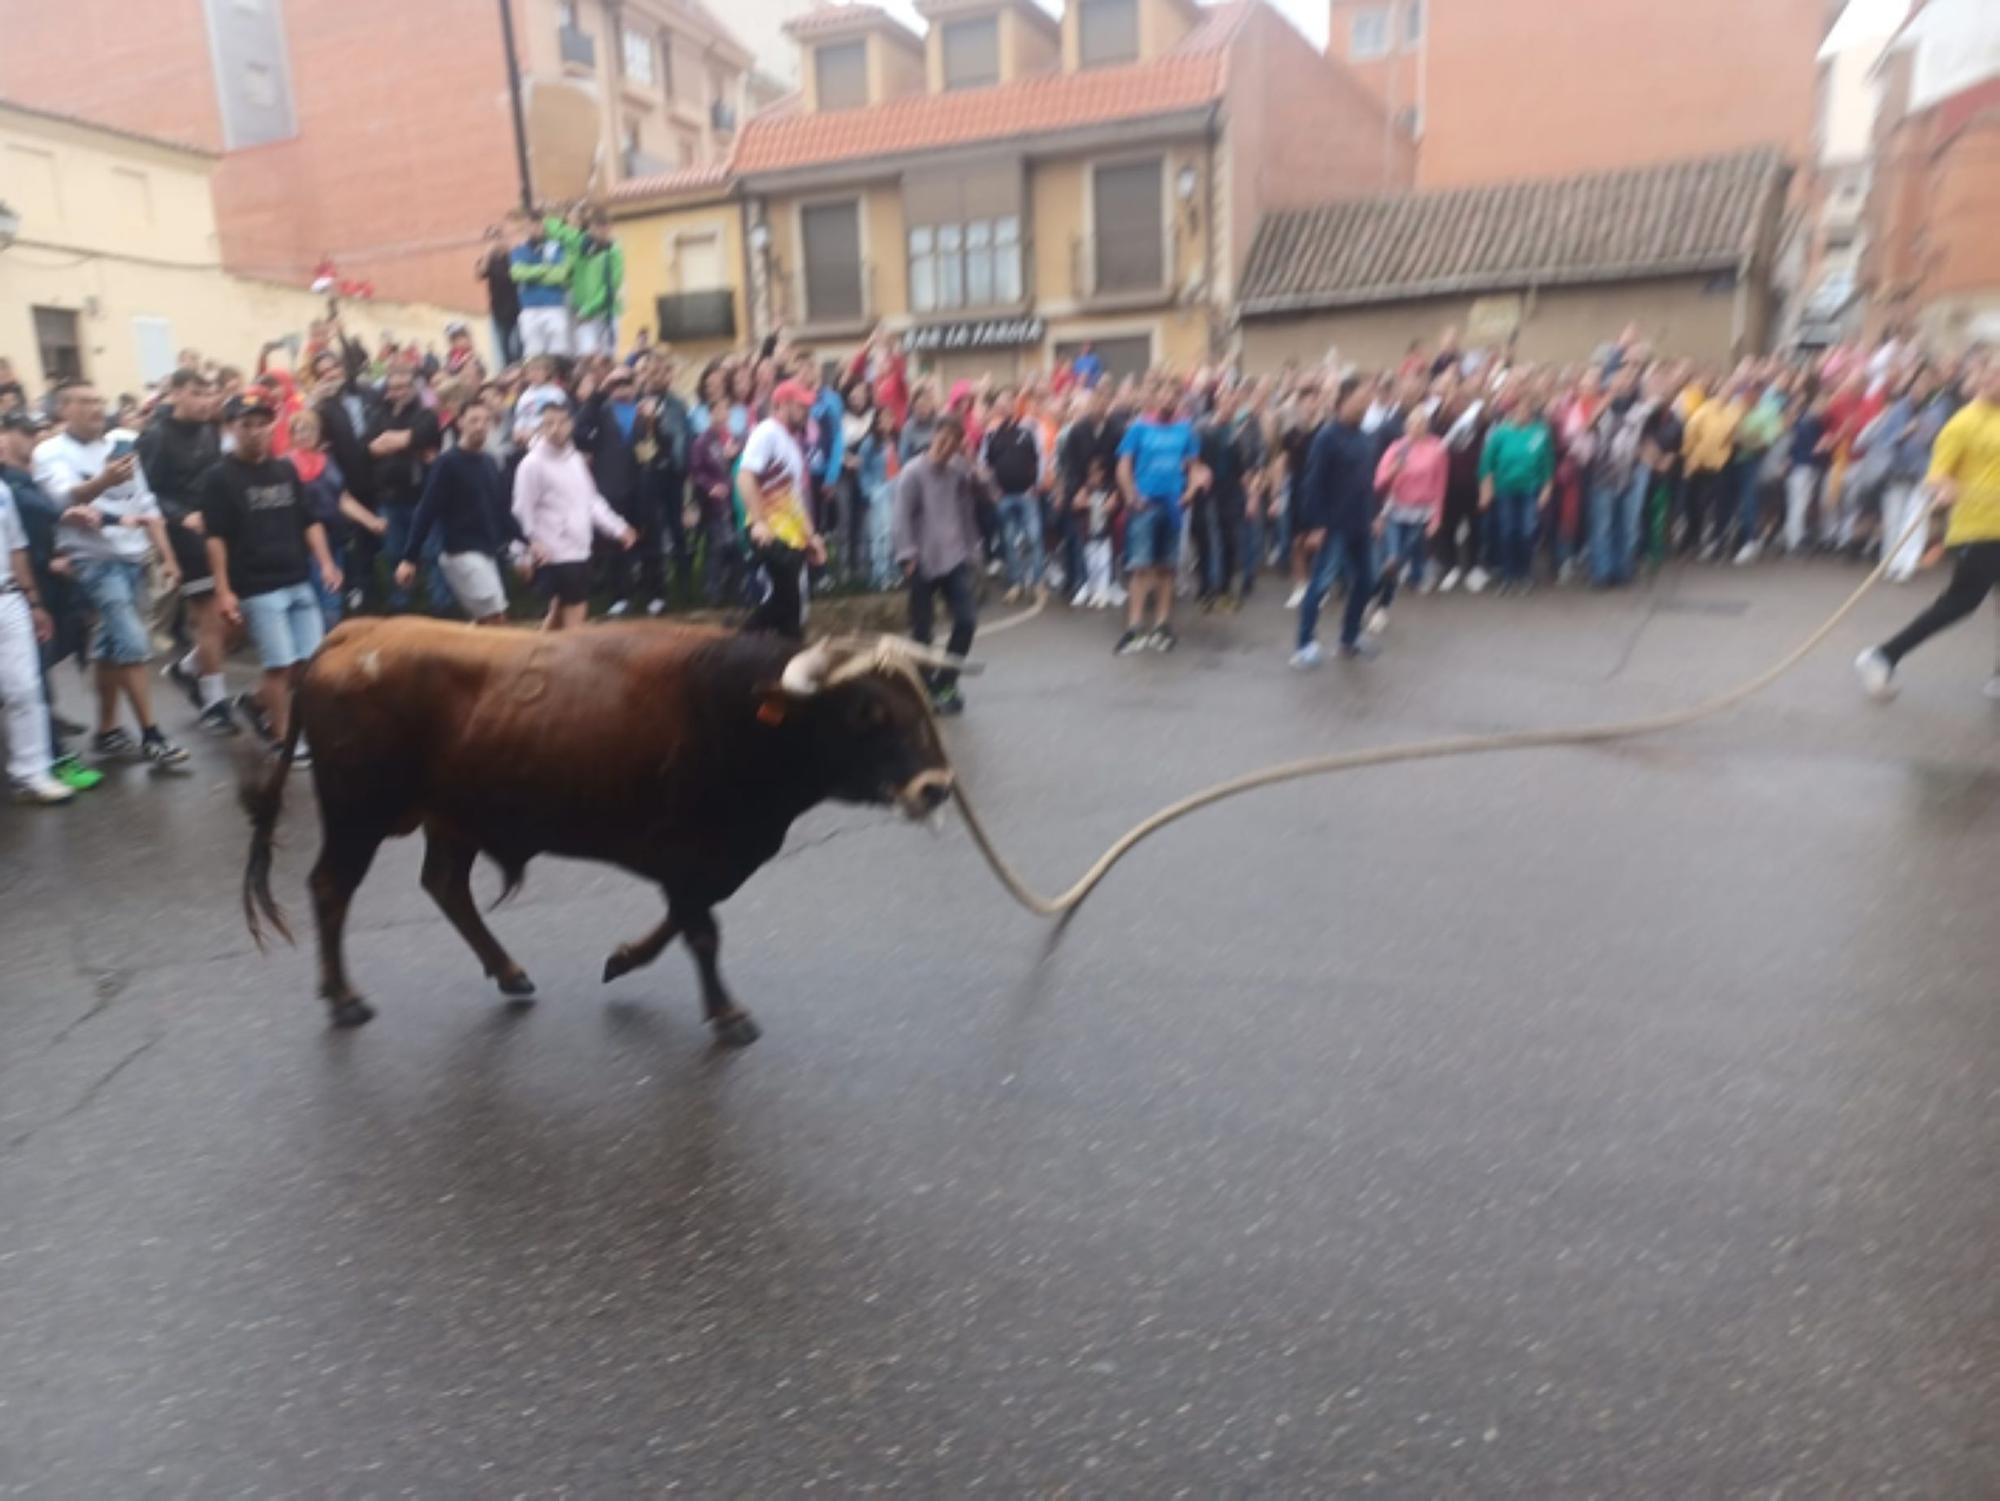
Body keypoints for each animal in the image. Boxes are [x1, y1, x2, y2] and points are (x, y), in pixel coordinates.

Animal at [242, 616, 960, 1048]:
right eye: (867, 712)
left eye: (921, 701)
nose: (936, 786)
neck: (734, 709)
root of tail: (355, 632)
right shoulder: (689, 851)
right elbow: (702, 930)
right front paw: (727, 1013)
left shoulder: (708, 860)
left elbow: (684, 922)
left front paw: (623, 958)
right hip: (358, 815)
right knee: (331, 888)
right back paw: (343, 997)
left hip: (454, 817)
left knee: (445, 885)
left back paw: (508, 971)